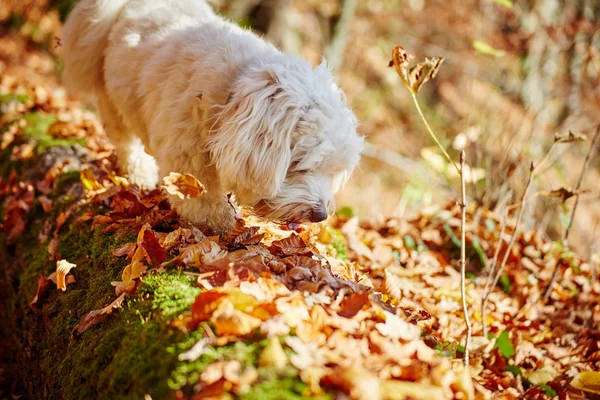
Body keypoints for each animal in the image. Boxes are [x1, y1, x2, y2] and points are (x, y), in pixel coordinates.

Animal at [61, 0, 364, 231]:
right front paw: (221, 221)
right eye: (300, 165)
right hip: (114, 97)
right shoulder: (186, 153)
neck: (235, 92)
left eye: (332, 171)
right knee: (125, 140)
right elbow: (201, 194)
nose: (320, 215)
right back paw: (140, 172)